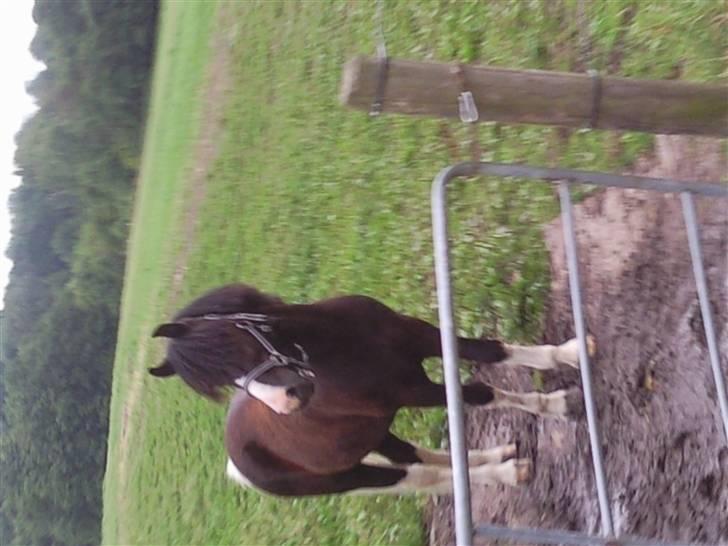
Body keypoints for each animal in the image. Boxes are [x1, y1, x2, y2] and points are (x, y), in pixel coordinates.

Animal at [149, 283, 591, 496]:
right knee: (416, 477)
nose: (288, 403)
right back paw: (506, 471)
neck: (340, 343)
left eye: (232, 352)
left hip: (373, 435)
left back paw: (497, 455)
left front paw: (573, 351)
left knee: (414, 455)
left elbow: (489, 351)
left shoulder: (421, 337)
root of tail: (235, 466)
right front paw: (559, 404)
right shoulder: (411, 391)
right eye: (229, 381)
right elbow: (479, 392)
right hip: (349, 478)